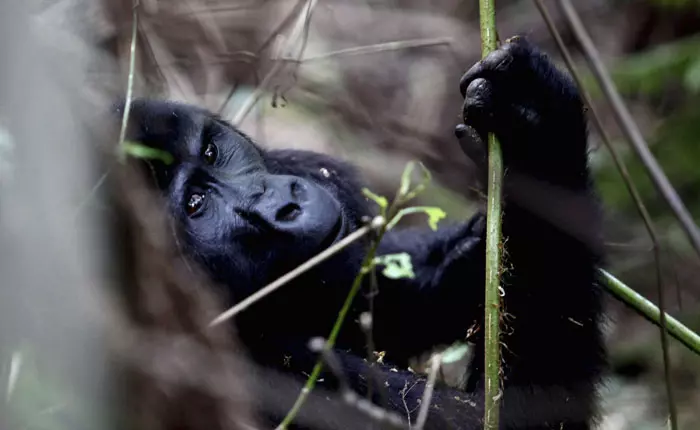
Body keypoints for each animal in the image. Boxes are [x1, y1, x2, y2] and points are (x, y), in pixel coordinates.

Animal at [120, 38, 608, 428]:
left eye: (210, 151)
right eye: (195, 205)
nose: (285, 203)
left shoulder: (314, 172)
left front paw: (535, 126)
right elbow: (522, 413)